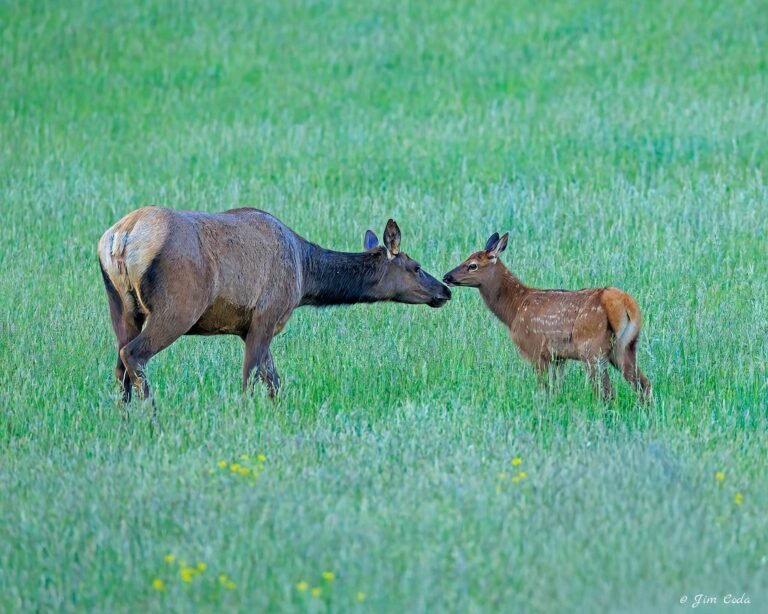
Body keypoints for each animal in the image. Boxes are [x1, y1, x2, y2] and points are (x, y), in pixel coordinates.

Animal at [98, 206, 451, 402]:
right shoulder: (266, 316)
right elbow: (251, 379)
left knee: (119, 365)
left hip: (121, 308)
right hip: (178, 306)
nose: (445, 290)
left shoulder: (248, 327)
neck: (305, 277)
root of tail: (121, 237)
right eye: (416, 267)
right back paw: (153, 417)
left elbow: (274, 382)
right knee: (134, 354)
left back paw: (123, 418)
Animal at [443, 232, 651, 400]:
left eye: (472, 265)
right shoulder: (558, 357)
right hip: (625, 346)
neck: (514, 310)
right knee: (643, 384)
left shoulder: (534, 348)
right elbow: (556, 388)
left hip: (591, 347)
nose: (446, 277)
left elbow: (545, 389)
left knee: (607, 392)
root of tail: (623, 301)